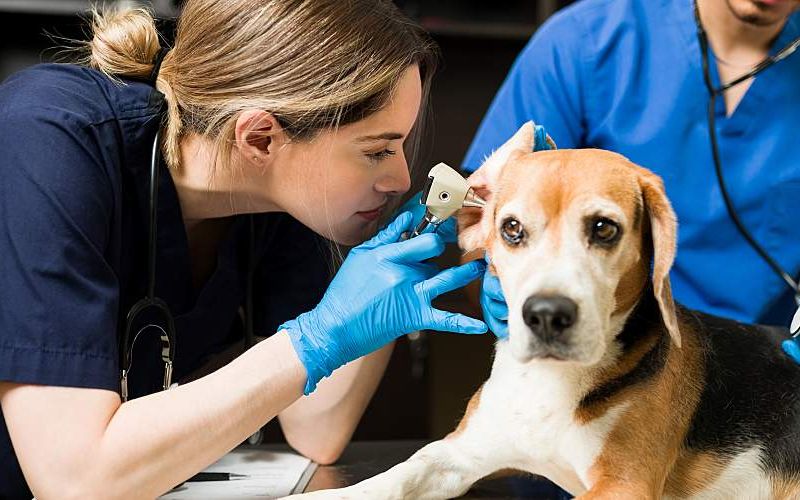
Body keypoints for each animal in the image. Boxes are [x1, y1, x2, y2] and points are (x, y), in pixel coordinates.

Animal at [292, 122, 800, 500]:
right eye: (512, 229)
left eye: (604, 228)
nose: (546, 315)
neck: (548, 382)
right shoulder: (458, 453)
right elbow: (395, 476)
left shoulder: (624, 484)